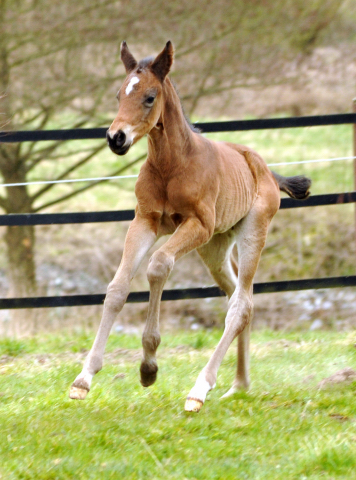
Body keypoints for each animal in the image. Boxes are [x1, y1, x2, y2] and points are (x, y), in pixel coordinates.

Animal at [70, 40, 312, 412]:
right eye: (118, 95)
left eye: (150, 97)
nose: (115, 138)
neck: (171, 164)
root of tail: (268, 171)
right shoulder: (145, 222)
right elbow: (117, 288)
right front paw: (84, 377)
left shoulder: (196, 224)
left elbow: (158, 266)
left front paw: (149, 365)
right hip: (215, 247)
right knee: (239, 297)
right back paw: (239, 385)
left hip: (251, 232)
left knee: (240, 305)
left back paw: (200, 389)